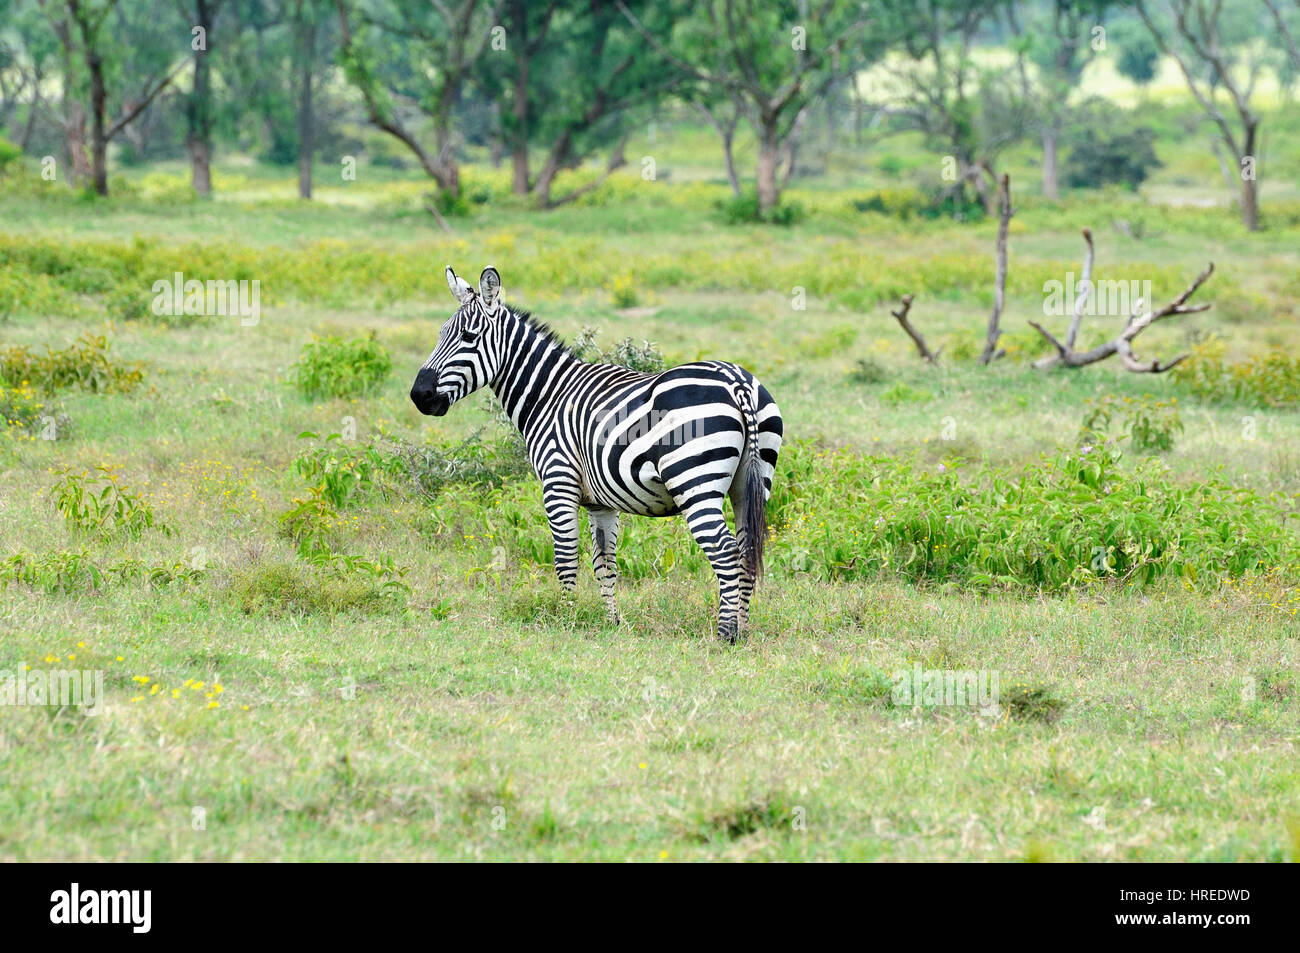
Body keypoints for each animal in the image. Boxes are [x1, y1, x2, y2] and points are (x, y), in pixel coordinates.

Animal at [410, 263, 780, 642]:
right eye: (440, 334)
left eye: (468, 337)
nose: (419, 395)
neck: (549, 395)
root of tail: (736, 381)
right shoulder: (601, 503)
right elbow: (605, 563)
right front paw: (611, 623)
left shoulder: (558, 483)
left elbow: (565, 558)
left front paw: (565, 619)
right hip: (751, 483)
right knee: (747, 551)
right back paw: (744, 629)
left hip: (695, 481)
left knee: (725, 552)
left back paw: (726, 634)